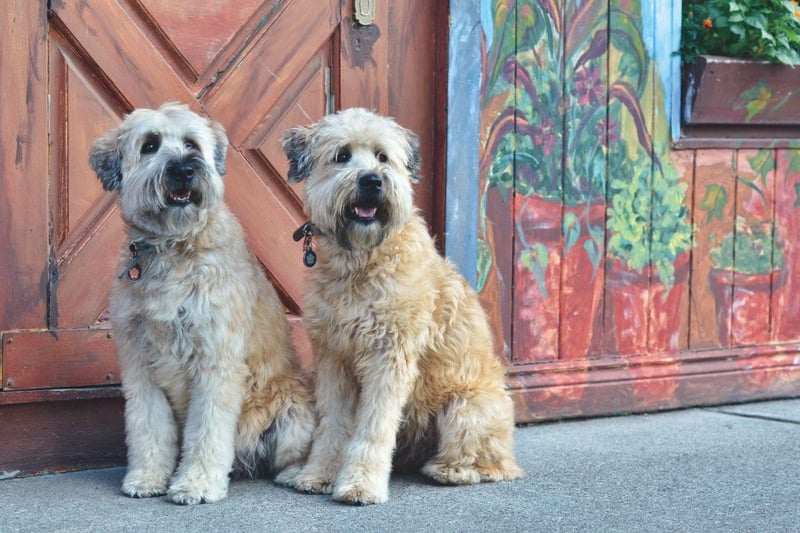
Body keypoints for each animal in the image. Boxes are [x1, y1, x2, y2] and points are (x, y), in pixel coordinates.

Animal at [90, 103, 316, 502]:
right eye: (150, 145)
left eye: (191, 144)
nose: (184, 169)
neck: (172, 247)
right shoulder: (139, 363)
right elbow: (148, 426)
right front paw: (147, 476)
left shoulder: (215, 359)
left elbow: (208, 430)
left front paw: (196, 483)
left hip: (292, 409)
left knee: (290, 455)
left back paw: (294, 474)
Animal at [282, 107, 524, 502]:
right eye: (342, 156)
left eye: (382, 156)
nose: (372, 181)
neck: (362, 263)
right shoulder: (333, 358)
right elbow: (332, 425)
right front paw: (319, 473)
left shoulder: (389, 357)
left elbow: (373, 427)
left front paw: (360, 483)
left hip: (465, 407)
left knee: (493, 465)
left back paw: (450, 470)